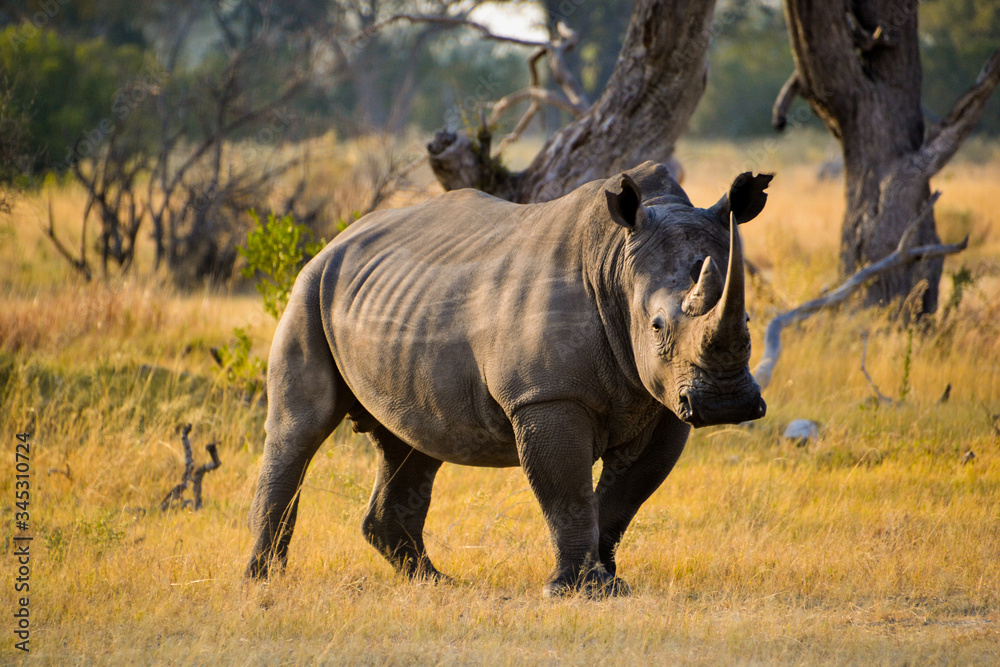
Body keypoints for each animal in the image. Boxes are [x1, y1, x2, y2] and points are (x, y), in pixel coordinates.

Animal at [246, 161, 771, 597]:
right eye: (658, 326)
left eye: (748, 321)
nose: (725, 404)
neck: (616, 265)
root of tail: (336, 239)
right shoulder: (544, 396)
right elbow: (568, 494)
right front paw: (579, 590)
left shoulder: (664, 406)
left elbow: (623, 498)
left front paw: (608, 582)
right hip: (308, 289)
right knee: (299, 429)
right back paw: (264, 580)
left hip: (393, 303)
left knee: (412, 442)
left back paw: (435, 582)